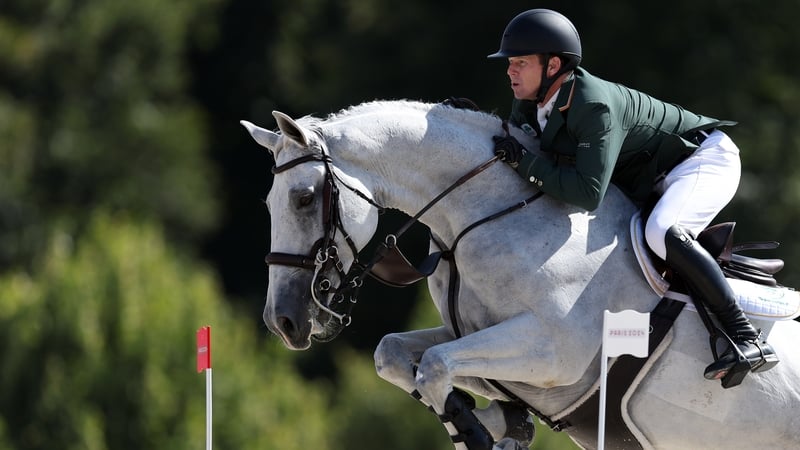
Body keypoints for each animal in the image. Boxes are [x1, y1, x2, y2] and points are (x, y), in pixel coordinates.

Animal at [241, 100, 800, 450]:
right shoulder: (475, 333)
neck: (486, 216)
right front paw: (497, 421)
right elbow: (396, 355)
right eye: (268, 203)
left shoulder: (554, 353)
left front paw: (480, 432)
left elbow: (436, 365)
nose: (282, 322)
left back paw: (747, 351)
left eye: (304, 198)